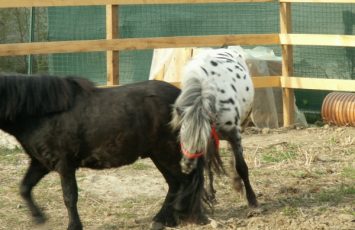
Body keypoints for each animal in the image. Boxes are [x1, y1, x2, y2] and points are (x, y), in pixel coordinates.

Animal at [0, 74, 207, 229]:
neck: (44, 114)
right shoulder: (41, 163)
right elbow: (25, 188)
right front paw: (39, 217)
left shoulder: (65, 165)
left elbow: (69, 197)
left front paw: (74, 226)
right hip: (159, 155)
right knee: (175, 184)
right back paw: (163, 220)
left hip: (168, 153)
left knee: (186, 182)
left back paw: (179, 215)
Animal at [171, 46, 258, 207]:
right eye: (181, 137)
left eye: (198, 141)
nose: (186, 166)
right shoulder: (209, 140)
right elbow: (207, 165)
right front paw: (210, 193)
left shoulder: (234, 133)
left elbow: (242, 167)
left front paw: (252, 199)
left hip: (241, 126)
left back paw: (238, 184)